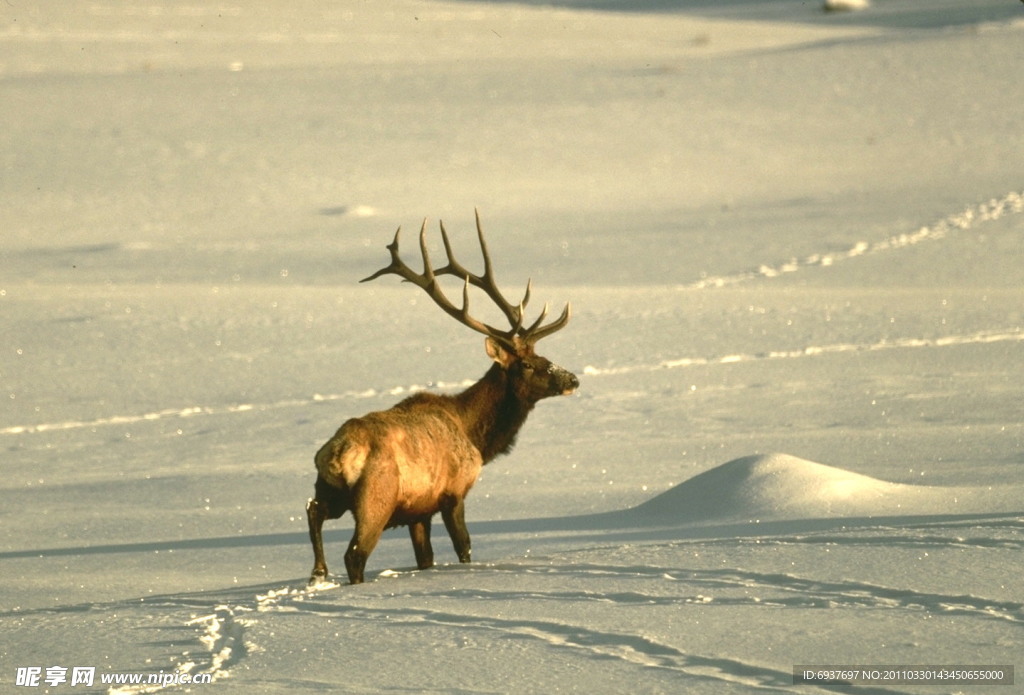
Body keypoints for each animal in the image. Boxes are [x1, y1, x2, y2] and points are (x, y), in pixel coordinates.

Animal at [303, 211, 577, 585]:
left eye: (544, 356)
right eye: (527, 364)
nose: (573, 379)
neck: (476, 436)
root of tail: (337, 452)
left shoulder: (419, 511)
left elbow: (426, 558)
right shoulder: (453, 492)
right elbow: (464, 547)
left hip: (329, 490)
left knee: (313, 510)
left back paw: (318, 571)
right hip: (376, 498)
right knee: (354, 554)